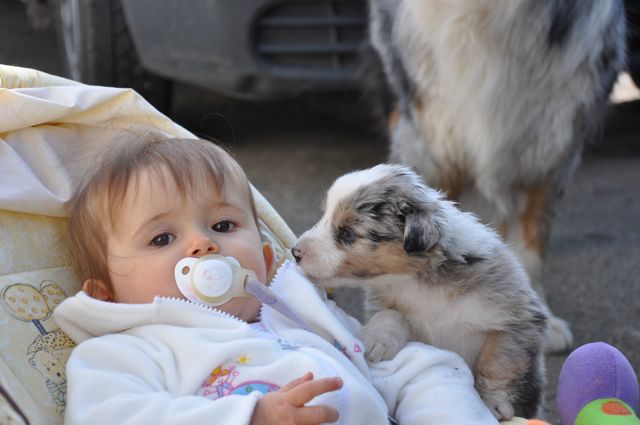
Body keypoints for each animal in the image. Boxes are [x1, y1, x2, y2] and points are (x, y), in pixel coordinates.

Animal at [292, 164, 548, 420]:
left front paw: (493, 404)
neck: (416, 282)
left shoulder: (518, 320)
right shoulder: (385, 302)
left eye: (347, 233)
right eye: (324, 216)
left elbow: (498, 362)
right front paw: (377, 342)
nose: (295, 252)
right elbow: (390, 314)